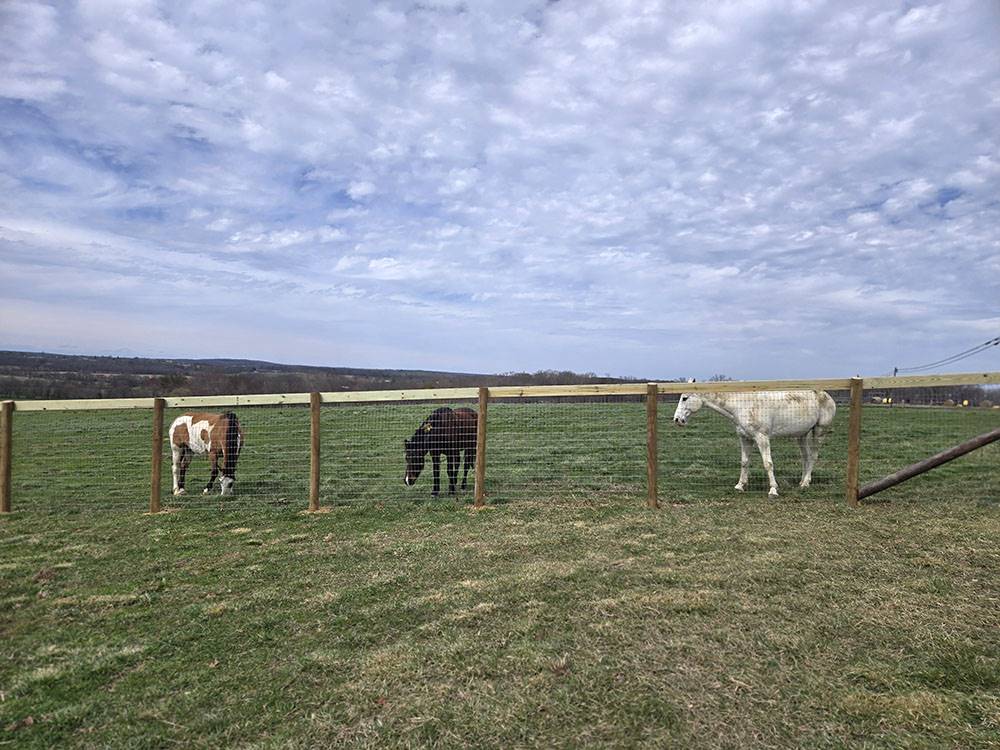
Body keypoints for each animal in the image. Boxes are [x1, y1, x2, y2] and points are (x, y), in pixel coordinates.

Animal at [672, 389, 836, 497]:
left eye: (684, 398)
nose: (677, 420)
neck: (742, 405)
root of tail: (826, 395)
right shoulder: (745, 438)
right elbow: (744, 462)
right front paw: (740, 486)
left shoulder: (762, 438)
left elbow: (768, 463)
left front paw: (773, 490)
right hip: (801, 435)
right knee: (805, 457)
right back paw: (802, 483)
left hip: (819, 432)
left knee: (813, 456)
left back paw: (806, 483)